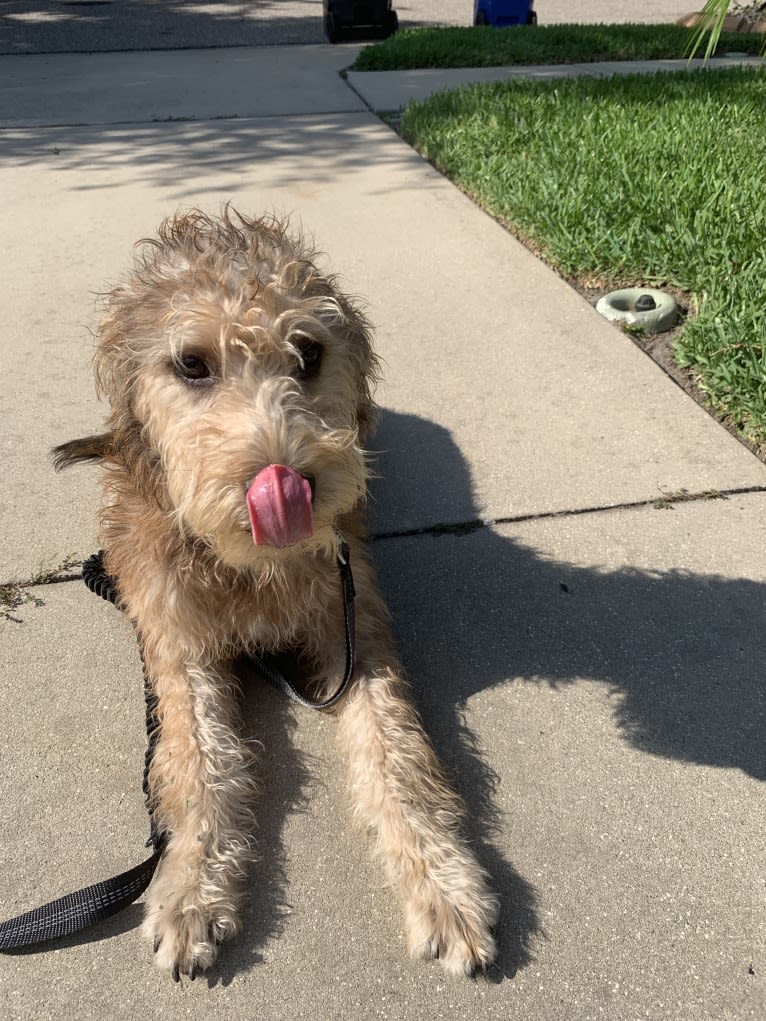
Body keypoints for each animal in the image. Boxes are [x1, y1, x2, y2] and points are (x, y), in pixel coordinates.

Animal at [52, 207, 498, 980]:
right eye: (191, 364)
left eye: (309, 352)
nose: (288, 481)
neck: (252, 567)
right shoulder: (179, 643)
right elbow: (196, 761)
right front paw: (191, 888)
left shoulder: (353, 626)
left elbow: (399, 755)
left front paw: (444, 885)